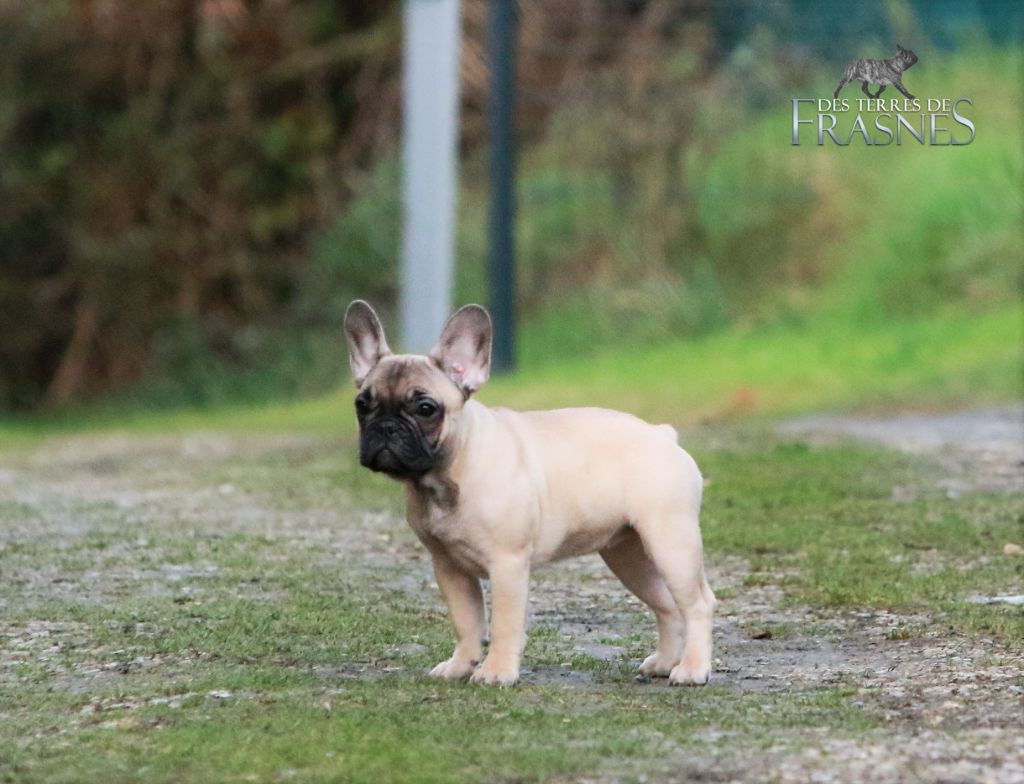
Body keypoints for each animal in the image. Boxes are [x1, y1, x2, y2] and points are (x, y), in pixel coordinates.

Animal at [344, 300, 712, 687]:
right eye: (362, 405)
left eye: (425, 409)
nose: (385, 427)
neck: (448, 474)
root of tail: (663, 434)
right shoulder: (449, 568)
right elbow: (466, 622)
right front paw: (461, 665)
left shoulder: (507, 564)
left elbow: (503, 624)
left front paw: (496, 672)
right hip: (629, 555)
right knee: (667, 606)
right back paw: (665, 663)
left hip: (671, 544)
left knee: (697, 605)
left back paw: (692, 669)